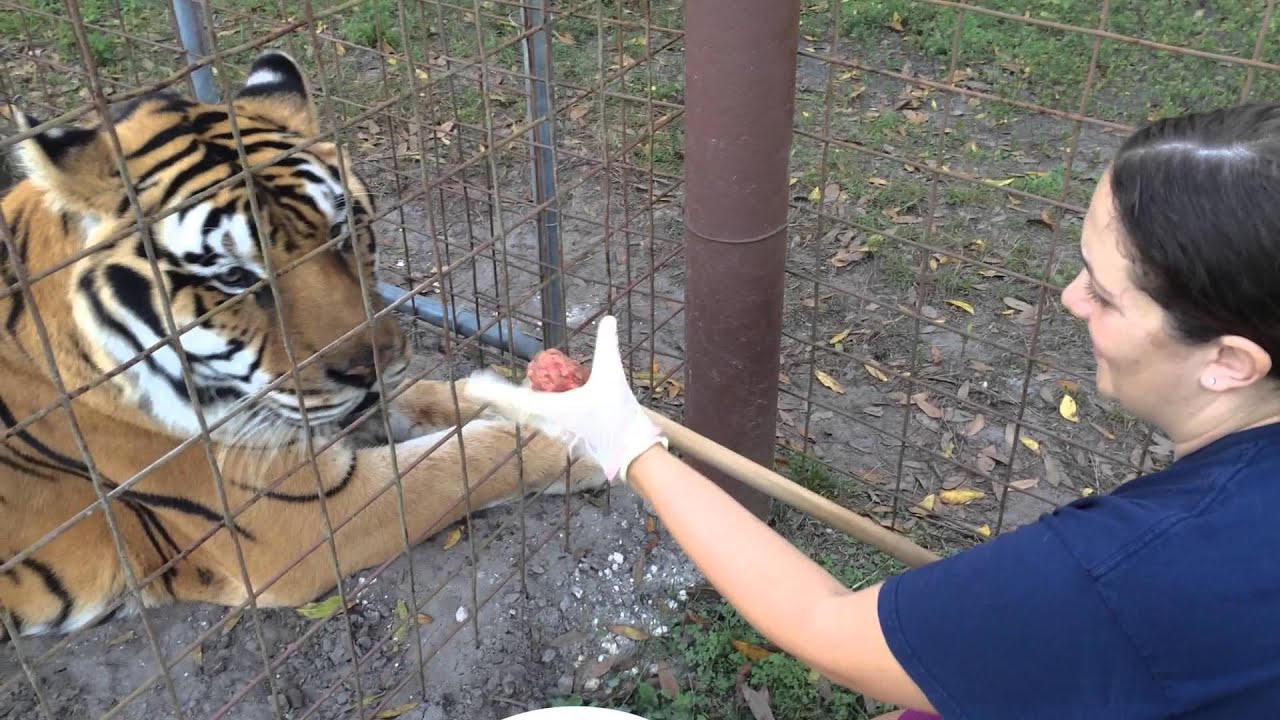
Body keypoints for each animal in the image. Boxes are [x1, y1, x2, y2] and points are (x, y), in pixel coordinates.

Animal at [0, 50, 604, 639]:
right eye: (236, 279)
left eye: (340, 234)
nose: (374, 367)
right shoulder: (302, 516)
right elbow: (464, 459)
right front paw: (584, 447)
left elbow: (442, 401)